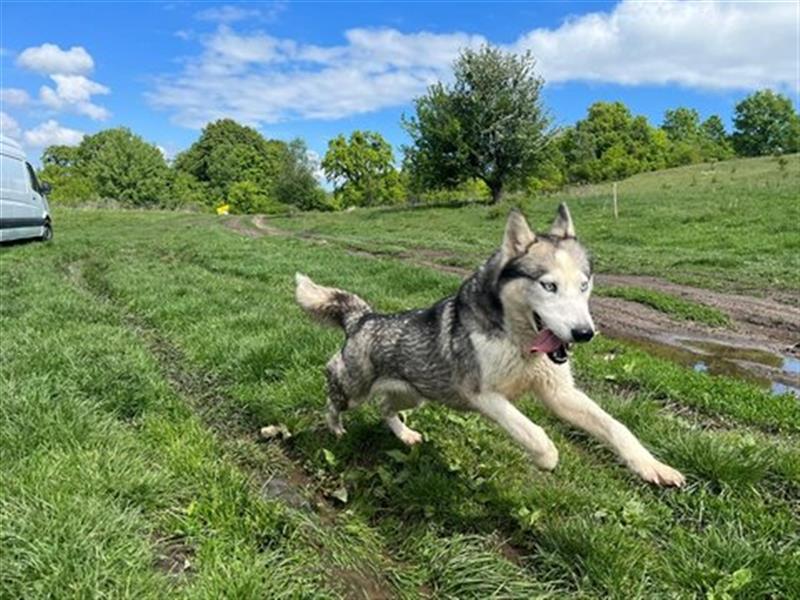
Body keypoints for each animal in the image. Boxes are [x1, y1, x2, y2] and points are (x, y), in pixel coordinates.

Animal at [296, 206, 684, 488]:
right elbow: (535, 434)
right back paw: (335, 427)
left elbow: (617, 428)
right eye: (548, 286)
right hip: (354, 388)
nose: (584, 333)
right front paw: (546, 458)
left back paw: (404, 434)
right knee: (332, 390)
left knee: (384, 407)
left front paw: (653, 466)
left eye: (584, 285)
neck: (520, 344)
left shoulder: (559, 392)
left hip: (414, 394)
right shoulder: (483, 395)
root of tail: (364, 317)